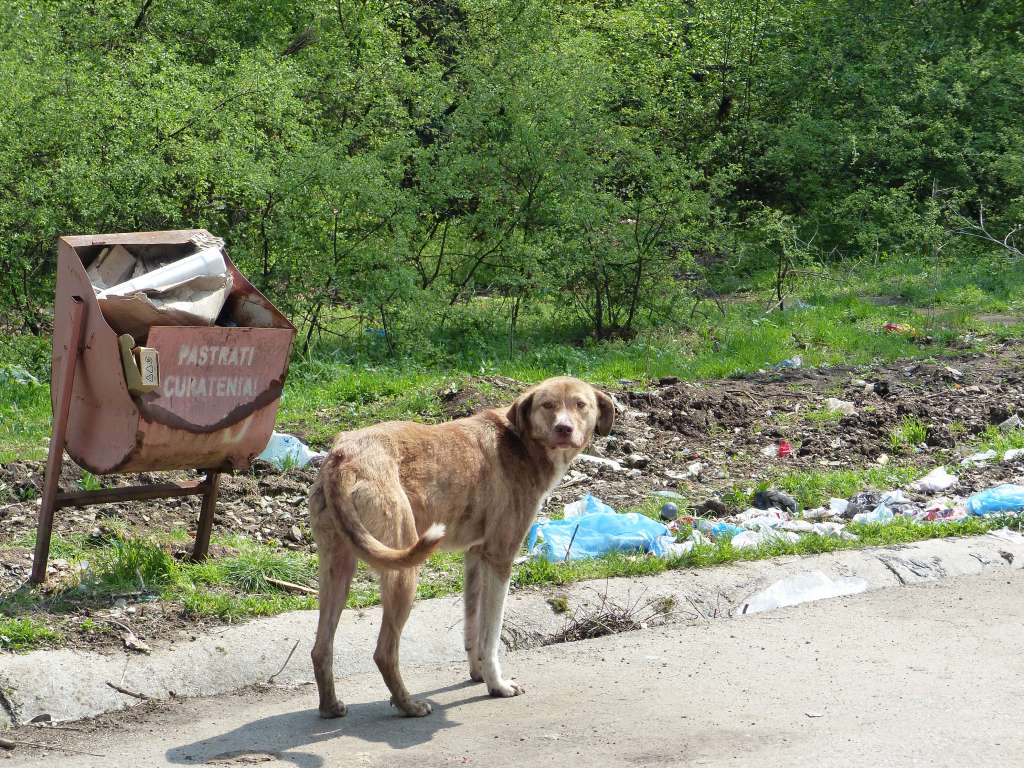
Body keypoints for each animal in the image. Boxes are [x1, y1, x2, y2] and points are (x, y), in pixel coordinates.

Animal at [308, 376, 614, 718]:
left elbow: (473, 627)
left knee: (321, 649)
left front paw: (478, 674)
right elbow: (491, 634)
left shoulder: (475, 556)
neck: (520, 442)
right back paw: (408, 705)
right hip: (404, 572)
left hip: (338, 569)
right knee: (384, 652)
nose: (564, 429)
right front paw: (498, 685)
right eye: (547, 405)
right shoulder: (500, 557)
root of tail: (344, 455)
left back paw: (330, 707)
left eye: (580, 404)